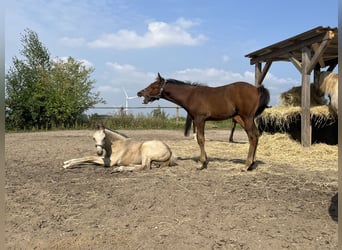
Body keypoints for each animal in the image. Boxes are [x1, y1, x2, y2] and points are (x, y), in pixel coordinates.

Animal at [137, 72, 270, 170]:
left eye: (154, 86)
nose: (139, 92)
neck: (191, 95)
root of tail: (257, 89)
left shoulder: (199, 119)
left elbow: (200, 139)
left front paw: (201, 164)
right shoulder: (199, 120)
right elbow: (199, 138)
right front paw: (204, 160)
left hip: (247, 117)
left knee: (252, 136)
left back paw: (247, 165)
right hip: (245, 119)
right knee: (256, 135)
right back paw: (252, 163)